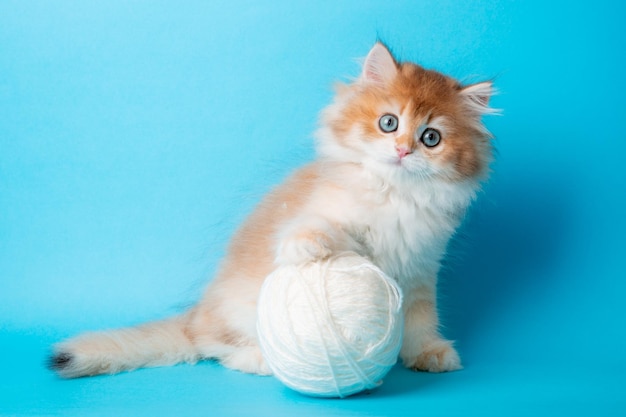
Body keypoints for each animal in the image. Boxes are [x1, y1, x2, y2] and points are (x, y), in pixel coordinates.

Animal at [48, 42, 494, 376]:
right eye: (389, 123)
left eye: (431, 138)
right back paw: (259, 359)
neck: (394, 195)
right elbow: (319, 229)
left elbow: (420, 319)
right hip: (239, 311)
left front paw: (428, 353)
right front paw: (305, 248)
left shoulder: (421, 269)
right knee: (212, 347)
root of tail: (196, 313)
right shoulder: (326, 211)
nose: (402, 150)